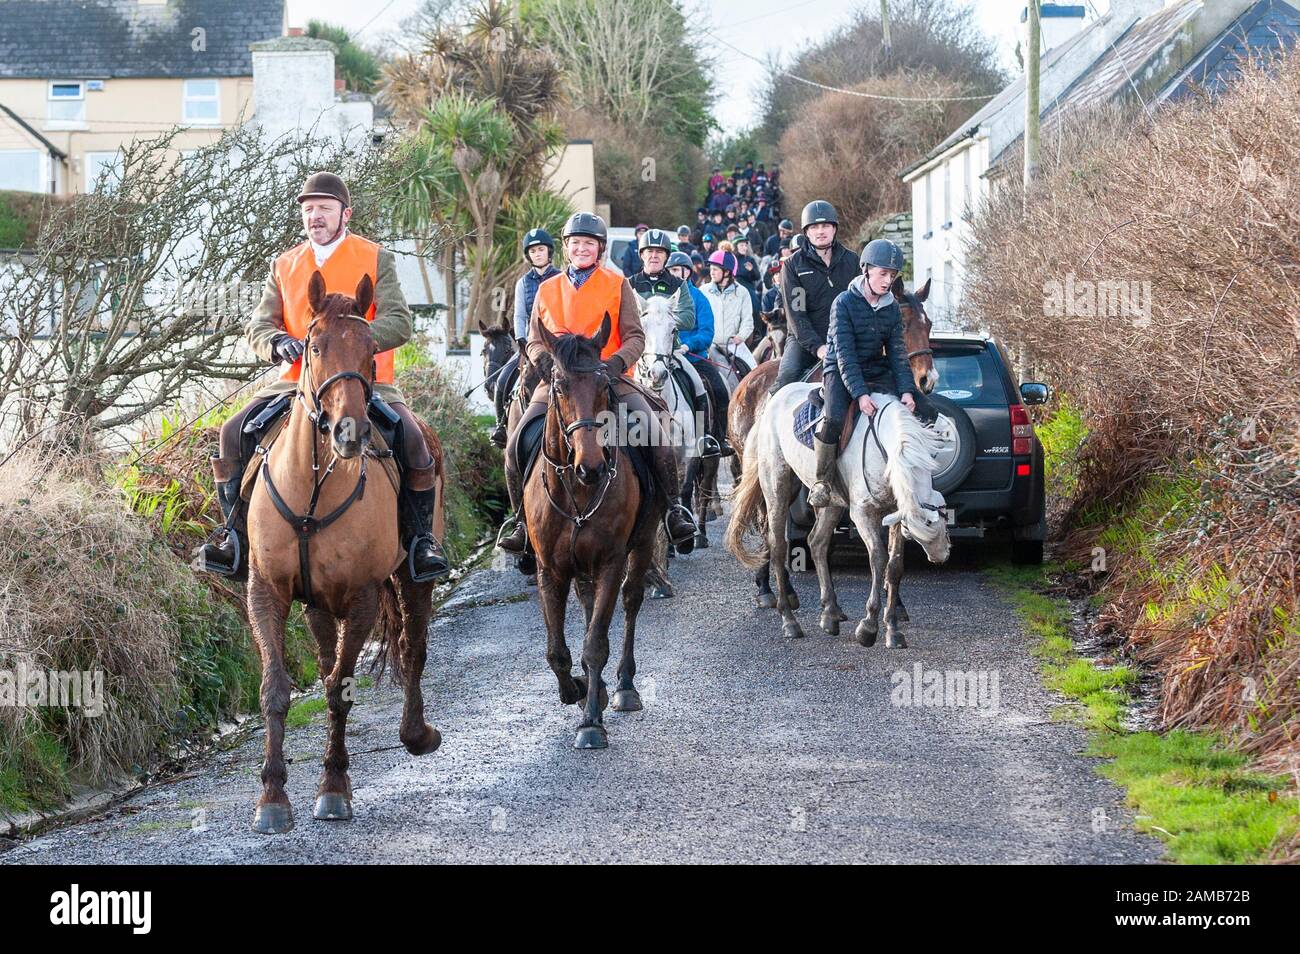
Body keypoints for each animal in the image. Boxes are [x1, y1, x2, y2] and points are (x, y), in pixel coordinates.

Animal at [243, 270, 441, 837]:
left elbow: (338, 690)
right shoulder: (267, 590)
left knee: (413, 651)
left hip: (413, 580)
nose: (350, 433)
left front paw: (332, 788)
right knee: (329, 656)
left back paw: (417, 734)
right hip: (317, 605)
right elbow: (276, 688)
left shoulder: (362, 599)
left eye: (371, 349)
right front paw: (272, 798)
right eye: (312, 346)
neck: (312, 489)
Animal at [525, 314, 665, 748]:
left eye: (604, 386)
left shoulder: (611, 562)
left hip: (641, 544)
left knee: (631, 601)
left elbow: (595, 644)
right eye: (559, 386)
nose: (592, 466)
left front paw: (590, 721)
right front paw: (577, 689)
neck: (578, 492)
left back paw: (623, 687)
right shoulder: (549, 570)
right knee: (587, 606)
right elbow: (557, 651)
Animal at [728, 382, 951, 649]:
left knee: (817, 542)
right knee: (778, 545)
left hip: (831, 502)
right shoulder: (863, 513)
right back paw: (789, 620)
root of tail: (774, 399)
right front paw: (868, 627)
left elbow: (894, 565)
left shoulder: (895, 512)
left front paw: (893, 629)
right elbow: (878, 559)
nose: (941, 555)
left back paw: (830, 614)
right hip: (777, 488)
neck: (885, 447)